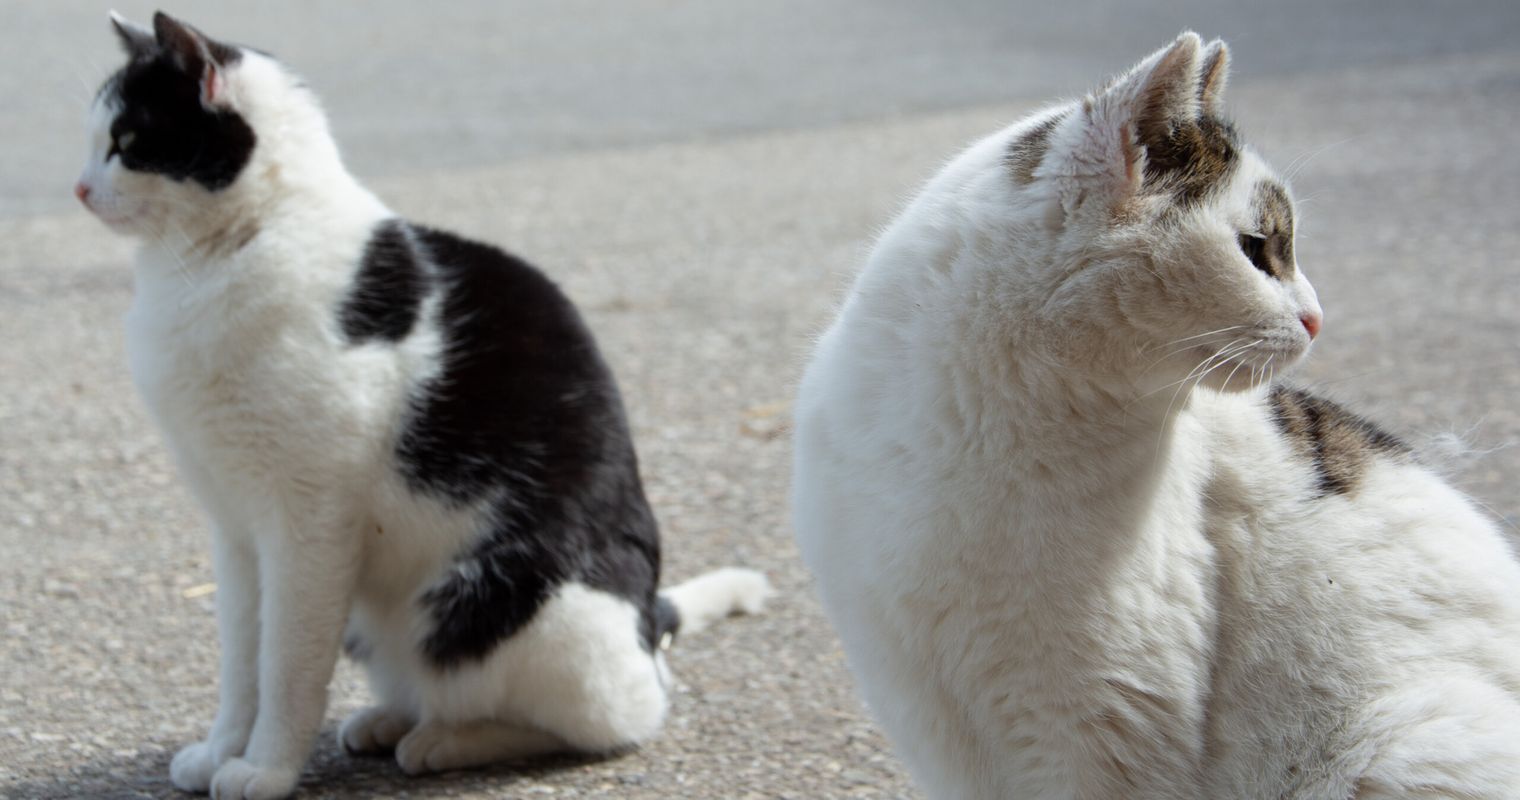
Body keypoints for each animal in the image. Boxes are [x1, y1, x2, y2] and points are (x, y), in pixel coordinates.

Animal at [75, 14, 766, 800]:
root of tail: (648, 621)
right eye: (93, 139)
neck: (213, 258)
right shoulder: (235, 527)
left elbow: (286, 664)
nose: (80, 188)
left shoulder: (309, 525)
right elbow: (240, 660)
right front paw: (222, 750)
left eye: (127, 142)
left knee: (617, 718)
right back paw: (390, 721)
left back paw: (448, 741)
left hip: (511, 606)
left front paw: (267, 769)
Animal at [790, 31, 1520, 800]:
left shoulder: (1104, 724)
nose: (1318, 319)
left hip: (1398, 748)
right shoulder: (924, 706)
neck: (980, 434)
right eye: (1256, 249)